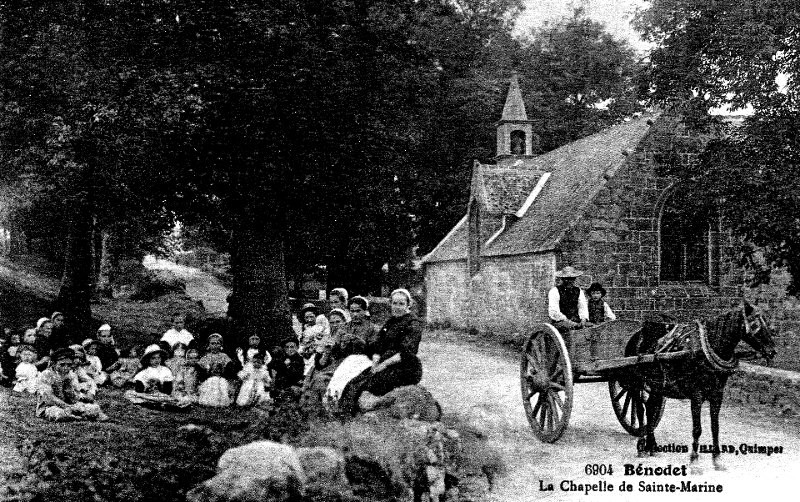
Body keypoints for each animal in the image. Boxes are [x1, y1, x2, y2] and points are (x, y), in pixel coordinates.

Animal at [624, 302, 776, 470]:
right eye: (755, 325)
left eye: (766, 322)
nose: (772, 351)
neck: (708, 349)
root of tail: (636, 335)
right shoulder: (696, 394)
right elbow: (697, 429)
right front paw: (694, 460)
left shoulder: (717, 394)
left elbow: (715, 427)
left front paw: (717, 460)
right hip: (636, 382)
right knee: (640, 410)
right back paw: (641, 446)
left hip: (657, 385)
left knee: (651, 409)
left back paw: (652, 446)